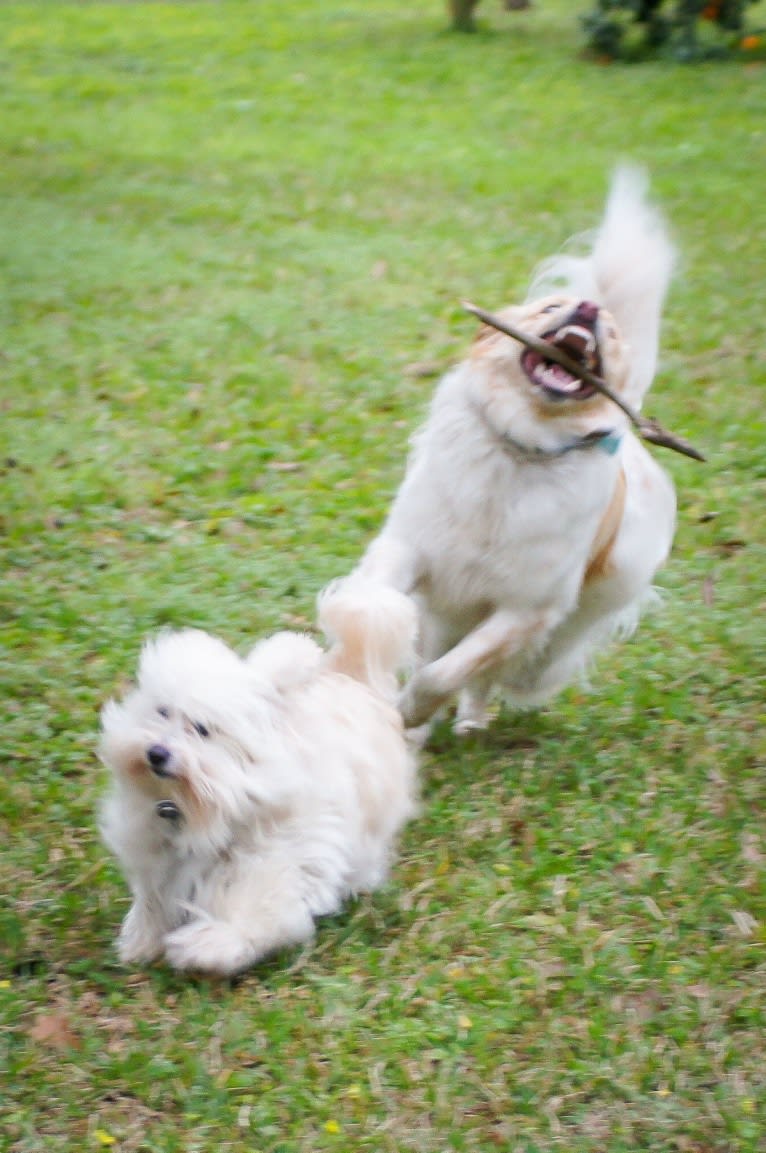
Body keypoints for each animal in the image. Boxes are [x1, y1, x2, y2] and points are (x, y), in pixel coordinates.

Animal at [100, 576, 419, 973]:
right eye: (162, 711)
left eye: (202, 729)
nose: (156, 753)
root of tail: (353, 674)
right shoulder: (158, 858)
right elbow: (153, 900)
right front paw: (141, 942)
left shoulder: (276, 857)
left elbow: (259, 910)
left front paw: (210, 944)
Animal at [353, 167, 678, 733]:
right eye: (550, 308)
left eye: (613, 335)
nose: (588, 308)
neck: (522, 444)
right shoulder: (409, 548)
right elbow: (379, 602)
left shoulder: (524, 610)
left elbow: (446, 672)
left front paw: (411, 709)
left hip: (561, 636)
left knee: (499, 674)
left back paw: (463, 721)